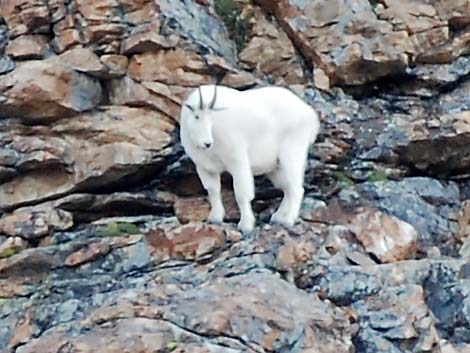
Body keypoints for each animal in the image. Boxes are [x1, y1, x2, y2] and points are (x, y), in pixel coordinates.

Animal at [179, 84, 320, 234]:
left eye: (211, 117)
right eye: (197, 116)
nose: (207, 143)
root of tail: (310, 115)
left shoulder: (237, 160)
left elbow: (241, 194)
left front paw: (246, 225)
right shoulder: (204, 167)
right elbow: (213, 191)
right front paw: (215, 218)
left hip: (292, 153)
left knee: (296, 189)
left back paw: (288, 220)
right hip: (276, 166)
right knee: (287, 188)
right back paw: (278, 217)